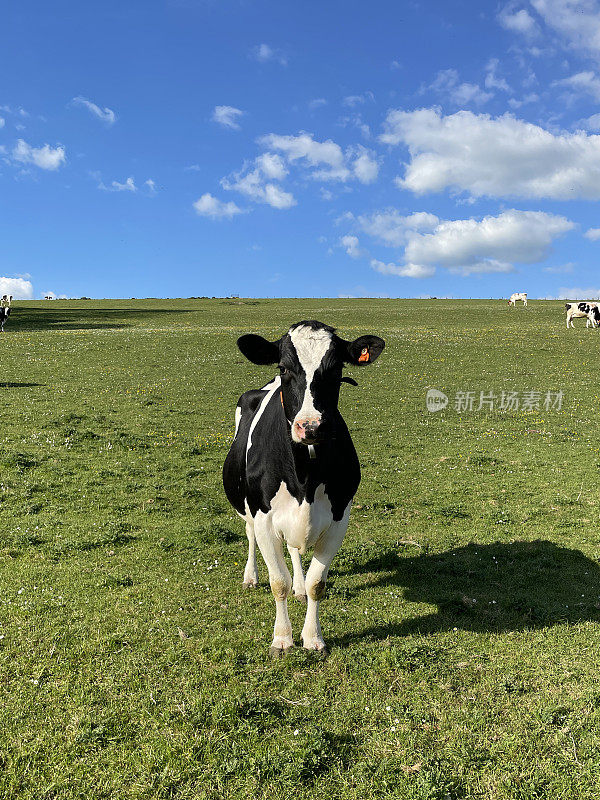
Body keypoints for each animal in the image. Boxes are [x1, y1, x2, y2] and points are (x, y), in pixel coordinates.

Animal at [221, 320, 384, 656]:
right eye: (284, 367)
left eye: (337, 368)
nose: (310, 426)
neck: (305, 478)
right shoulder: (263, 517)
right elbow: (277, 582)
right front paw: (282, 639)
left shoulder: (338, 518)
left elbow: (316, 583)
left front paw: (313, 638)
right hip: (247, 509)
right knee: (250, 537)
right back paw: (250, 576)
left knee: (296, 552)